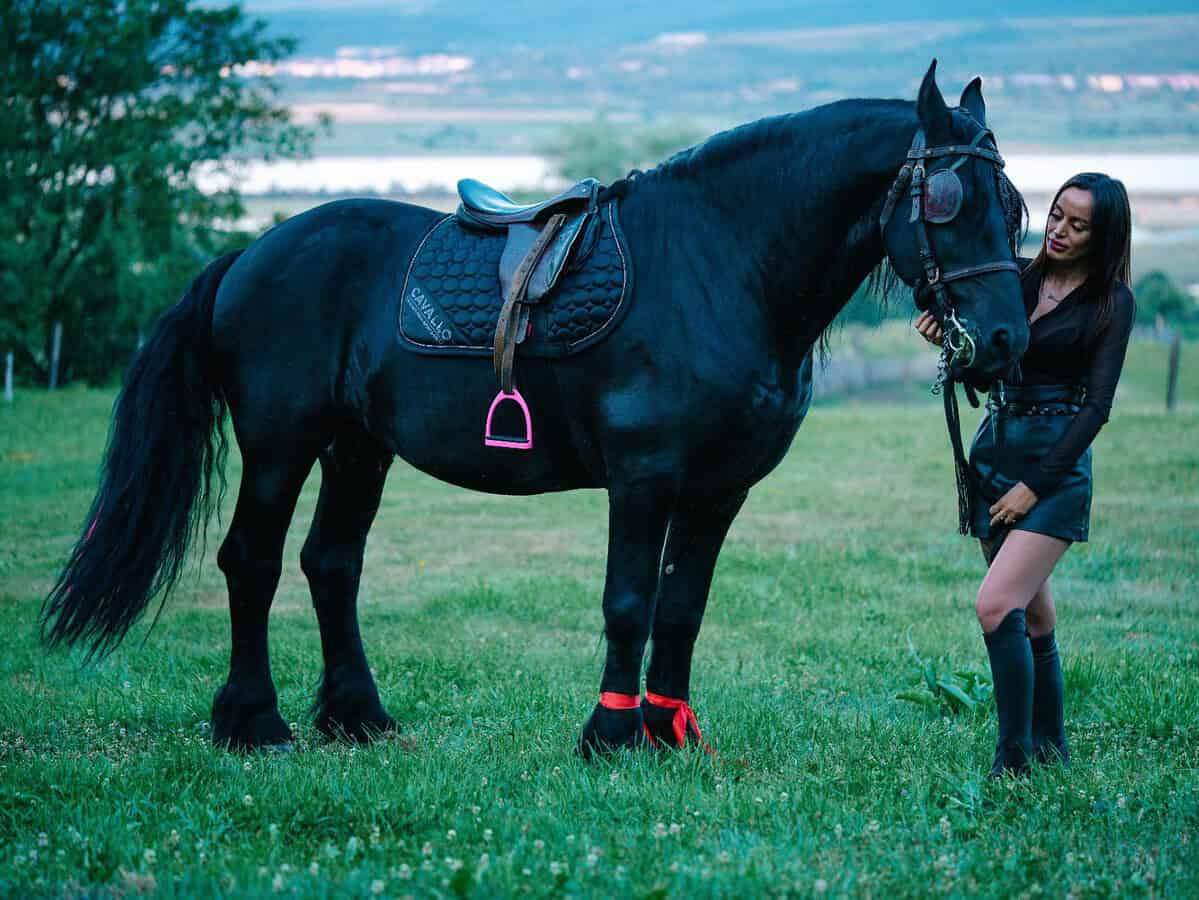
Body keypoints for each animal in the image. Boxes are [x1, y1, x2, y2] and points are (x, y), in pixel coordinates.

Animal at [42, 61, 1026, 752]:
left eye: (1014, 204)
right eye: (948, 199)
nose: (1006, 338)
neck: (719, 266)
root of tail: (251, 253)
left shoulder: (719, 489)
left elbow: (682, 606)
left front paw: (670, 731)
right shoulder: (643, 476)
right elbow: (628, 600)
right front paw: (611, 735)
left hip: (358, 447)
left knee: (332, 564)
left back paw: (358, 716)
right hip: (281, 443)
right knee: (251, 561)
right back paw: (254, 722)